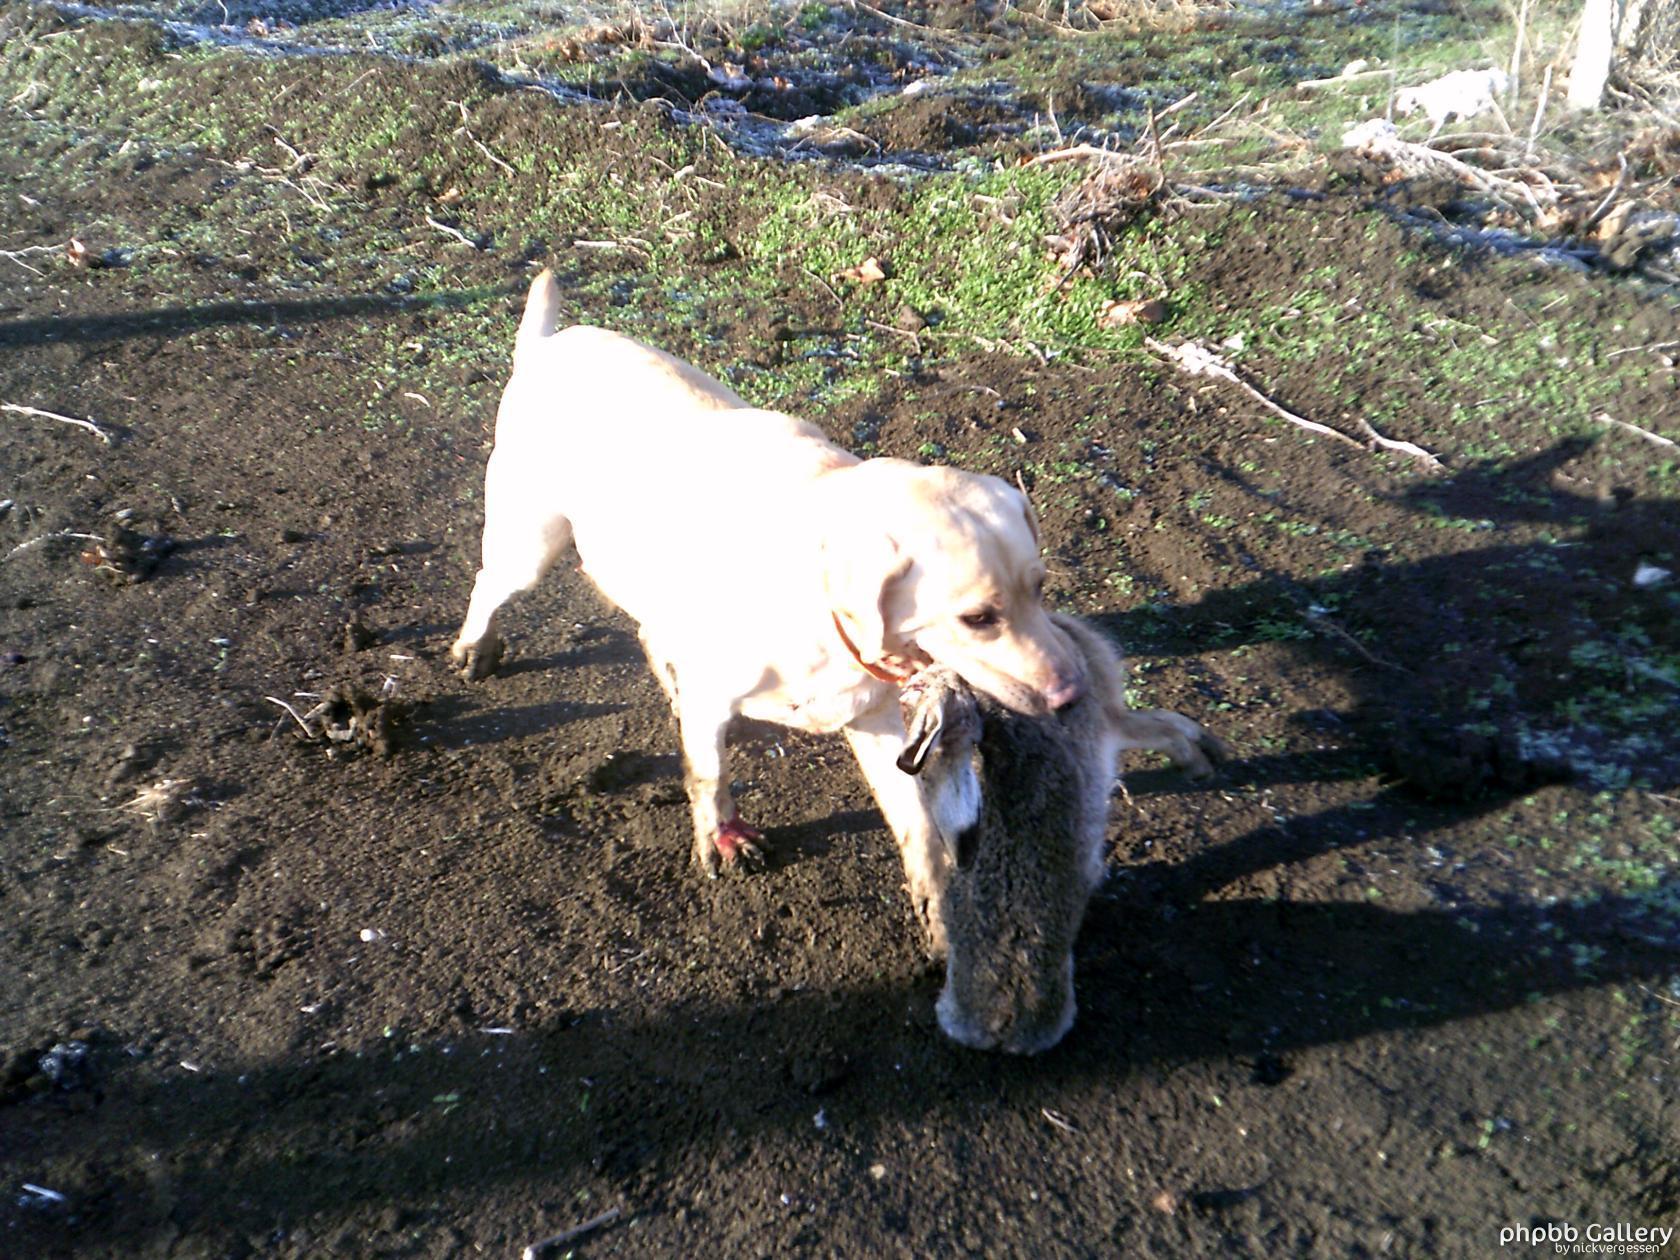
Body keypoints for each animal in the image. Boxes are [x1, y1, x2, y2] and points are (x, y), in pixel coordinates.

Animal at [452, 271, 1086, 953]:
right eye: (977, 618)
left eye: (1040, 589)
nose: (1074, 696)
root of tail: (547, 344)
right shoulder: (717, 703)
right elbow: (709, 776)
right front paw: (720, 839)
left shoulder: (879, 724)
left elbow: (918, 824)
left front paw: (939, 911)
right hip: (531, 544)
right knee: (490, 584)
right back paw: (475, 647)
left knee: (651, 629)